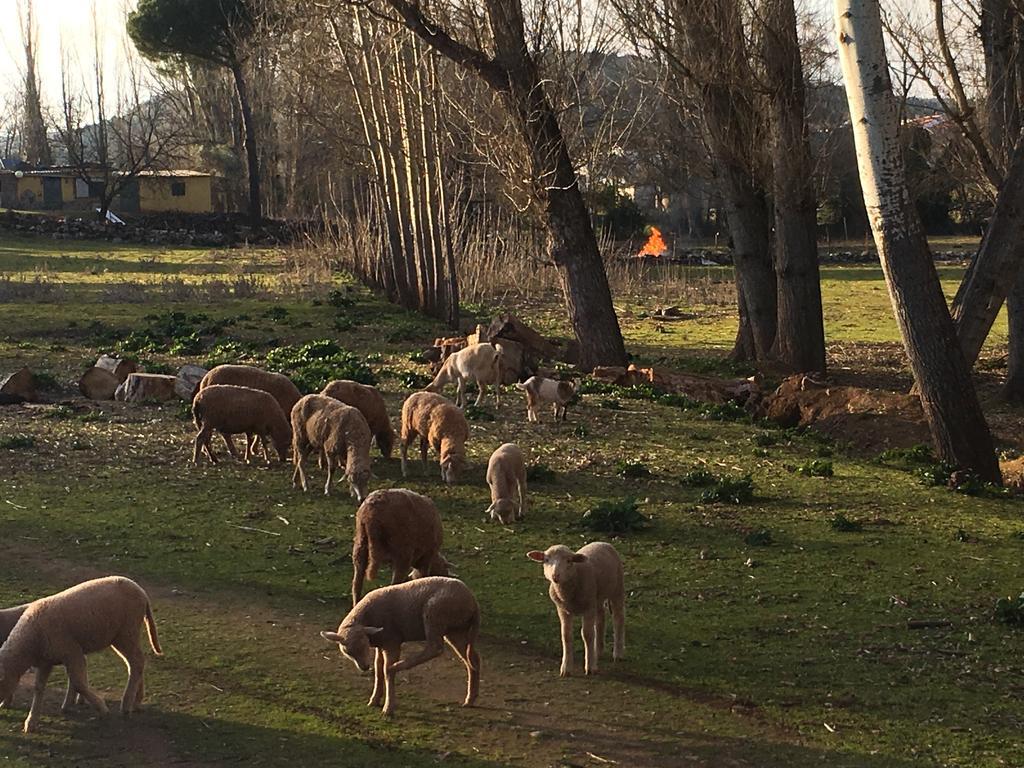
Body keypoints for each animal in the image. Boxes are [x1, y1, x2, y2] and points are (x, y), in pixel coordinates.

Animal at [0, 577, 161, 733]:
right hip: (123, 635)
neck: (31, 642)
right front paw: (31, 721)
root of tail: (141, 592)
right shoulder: (46, 660)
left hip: (127, 631)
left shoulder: (72, 651)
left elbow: (78, 683)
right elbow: (39, 688)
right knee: (135, 662)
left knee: (137, 662)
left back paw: (127, 705)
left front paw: (102, 708)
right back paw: (136, 701)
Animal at [319, 577, 479, 720]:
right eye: (347, 652)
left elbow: (384, 671)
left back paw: (396, 666)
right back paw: (470, 699)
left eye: (364, 645)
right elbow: (378, 670)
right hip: (455, 629)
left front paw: (388, 707)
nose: (364, 667)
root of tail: (472, 600)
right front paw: (374, 699)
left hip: (435, 615)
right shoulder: (381, 644)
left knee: (435, 648)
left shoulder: (392, 642)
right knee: (471, 659)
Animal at [528, 540, 622, 679]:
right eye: (546, 560)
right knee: (601, 619)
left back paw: (618, 653)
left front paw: (590, 667)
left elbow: (587, 635)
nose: (555, 576)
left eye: (568, 561)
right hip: (597, 598)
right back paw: (598, 651)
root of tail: (601, 542)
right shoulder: (563, 610)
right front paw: (566, 668)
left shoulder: (588, 608)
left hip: (617, 589)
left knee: (618, 619)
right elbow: (566, 635)